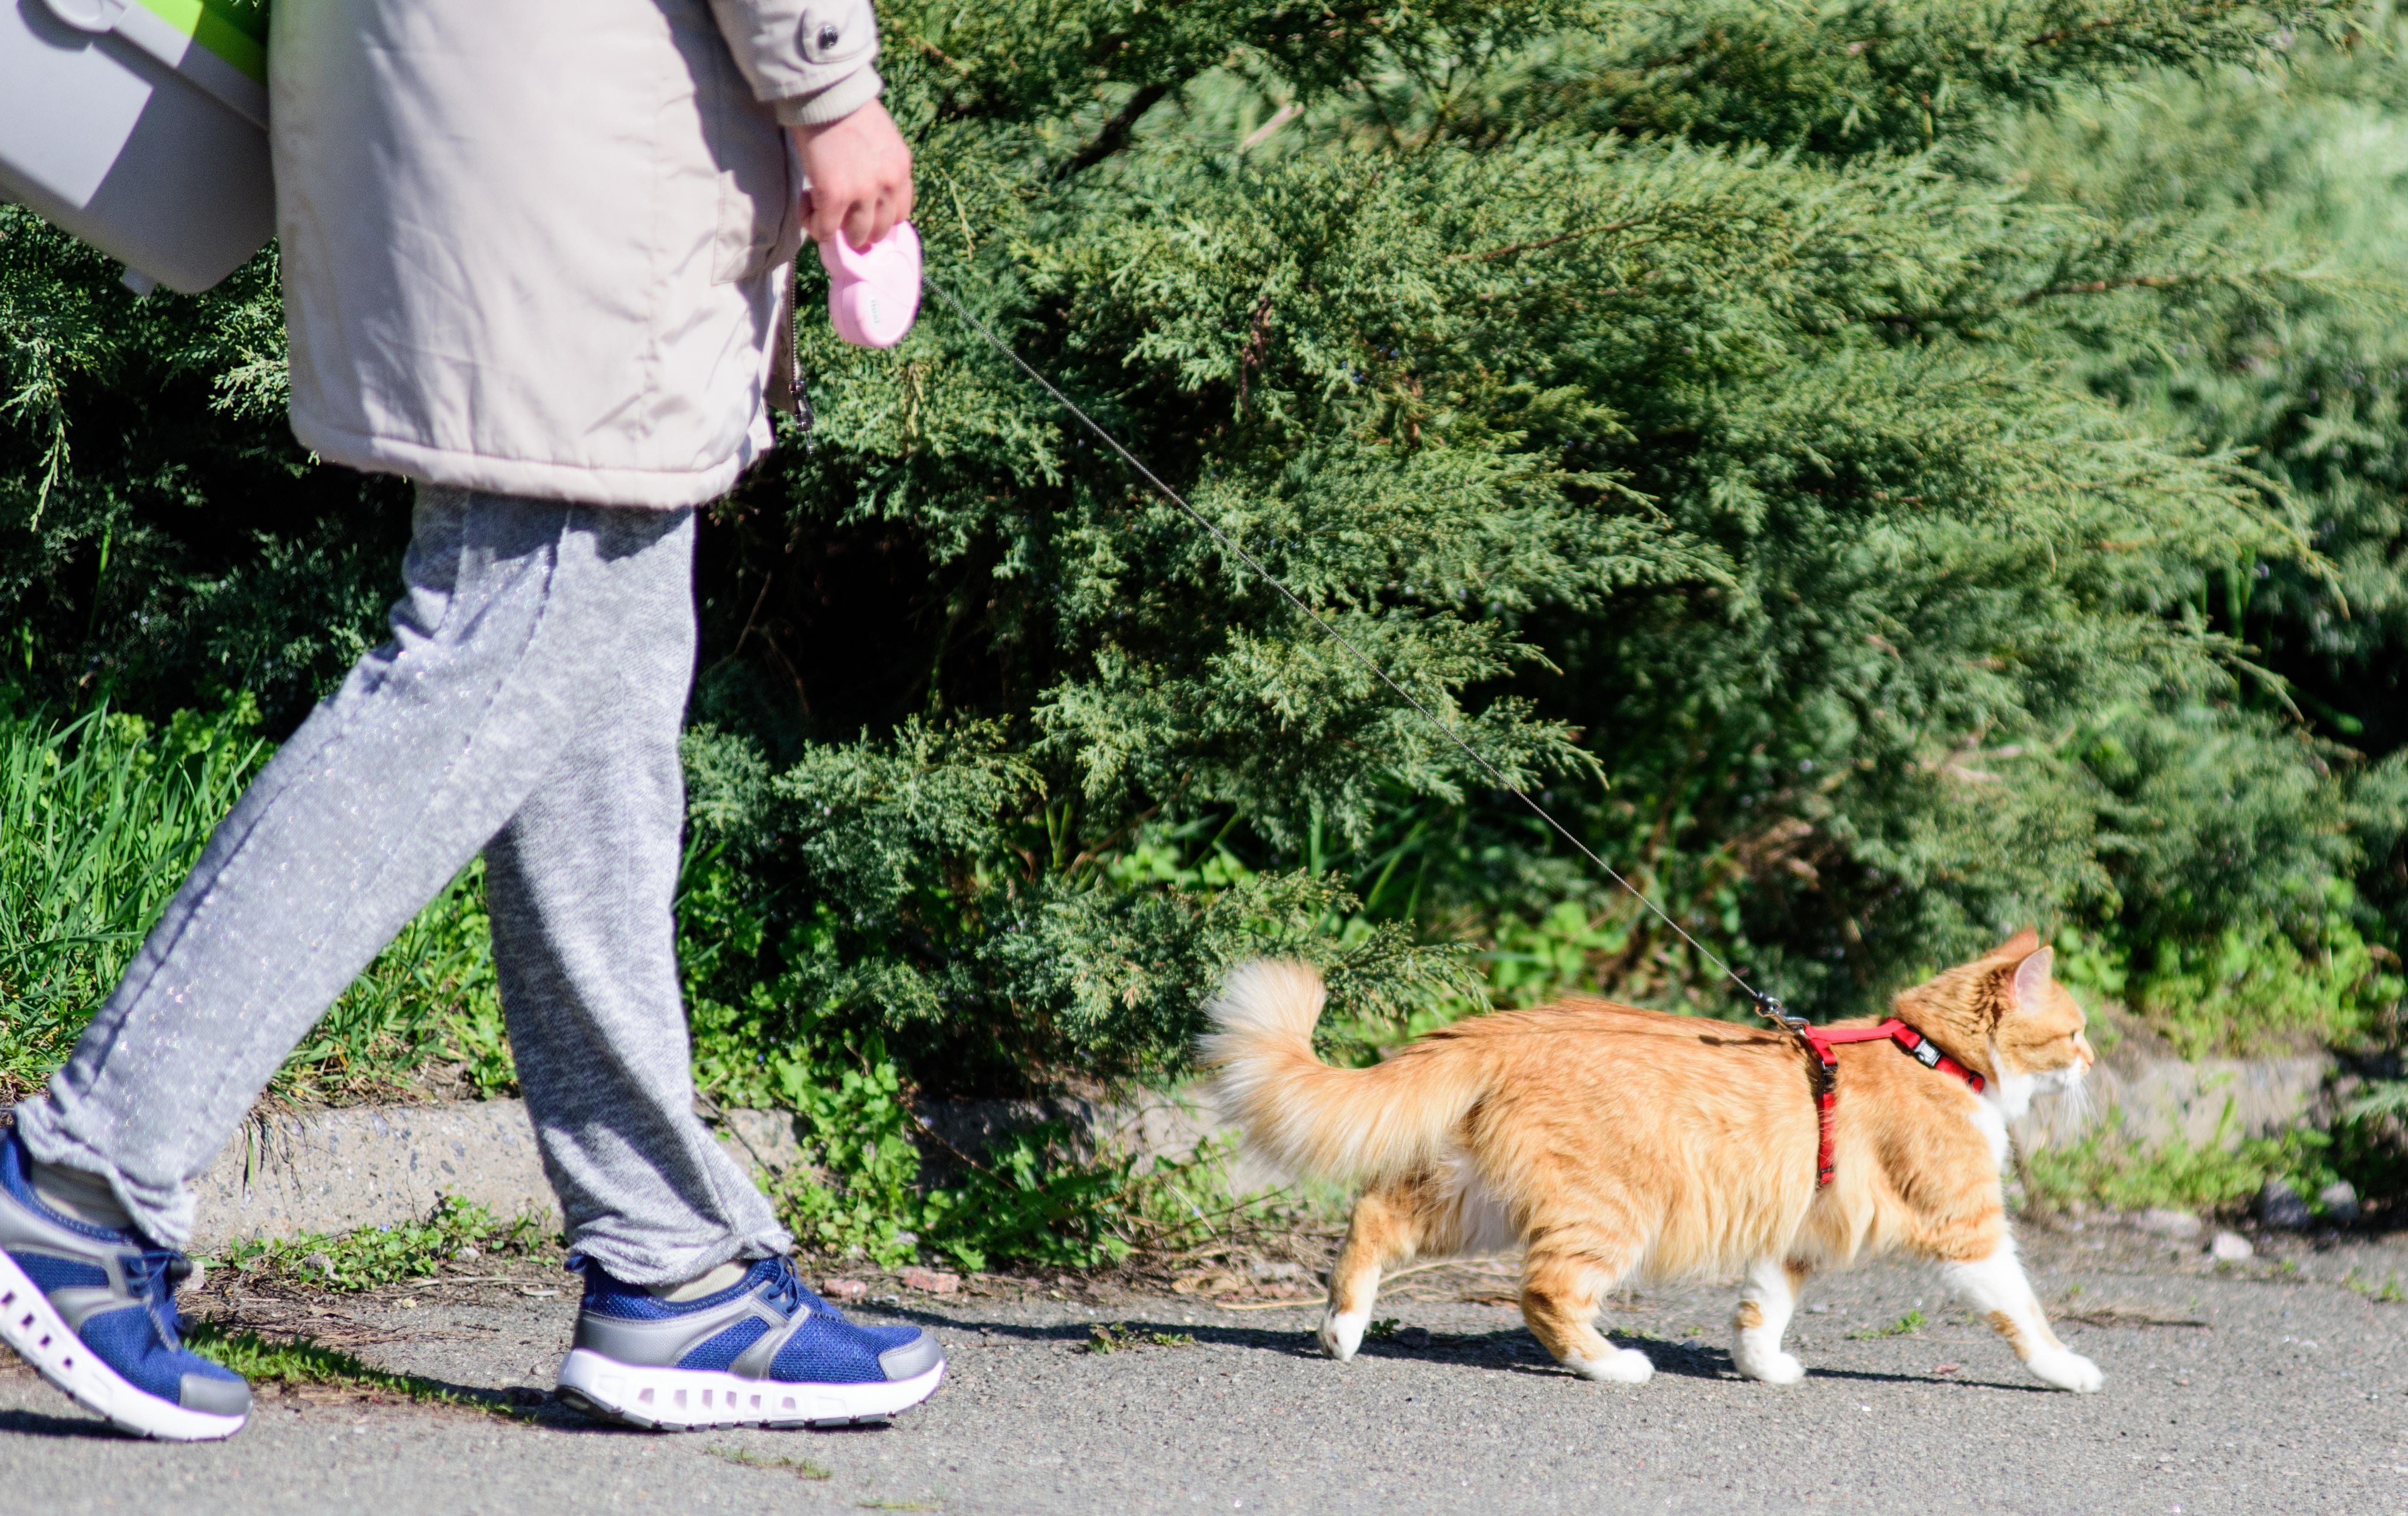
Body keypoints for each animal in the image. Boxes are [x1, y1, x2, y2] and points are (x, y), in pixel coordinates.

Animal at [1204, 935, 2109, 1398]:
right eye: (2072, 1032)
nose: (2095, 1061)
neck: (1934, 1056)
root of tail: (1510, 1023)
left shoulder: (1794, 1230)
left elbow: (1761, 1311)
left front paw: (1764, 1367)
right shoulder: (1969, 1229)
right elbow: (2027, 1315)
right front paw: (2068, 1368)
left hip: (1474, 1198)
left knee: (1373, 1214)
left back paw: (1341, 1327)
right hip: (1606, 1214)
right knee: (1544, 1293)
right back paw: (1611, 1364)